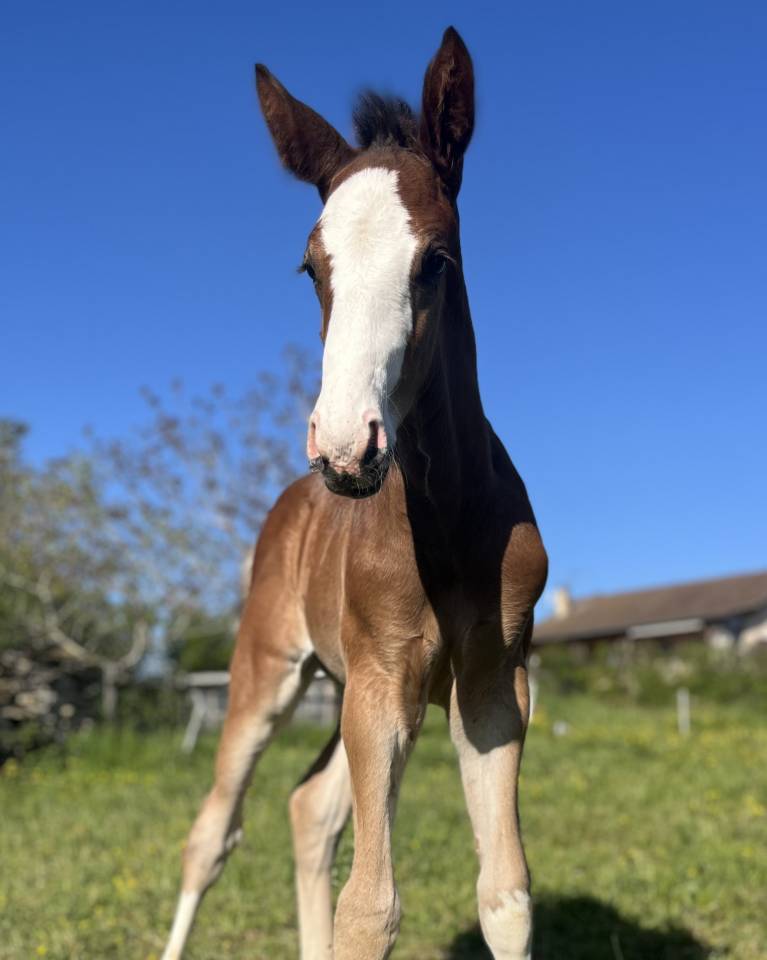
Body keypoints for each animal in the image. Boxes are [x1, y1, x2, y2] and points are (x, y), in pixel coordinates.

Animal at [162, 26, 547, 960]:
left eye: (436, 259)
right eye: (309, 266)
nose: (345, 446)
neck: (447, 519)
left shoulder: (492, 684)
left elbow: (505, 893)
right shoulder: (379, 678)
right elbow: (369, 908)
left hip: (348, 694)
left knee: (310, 808)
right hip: (268, 673)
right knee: (212, 831)